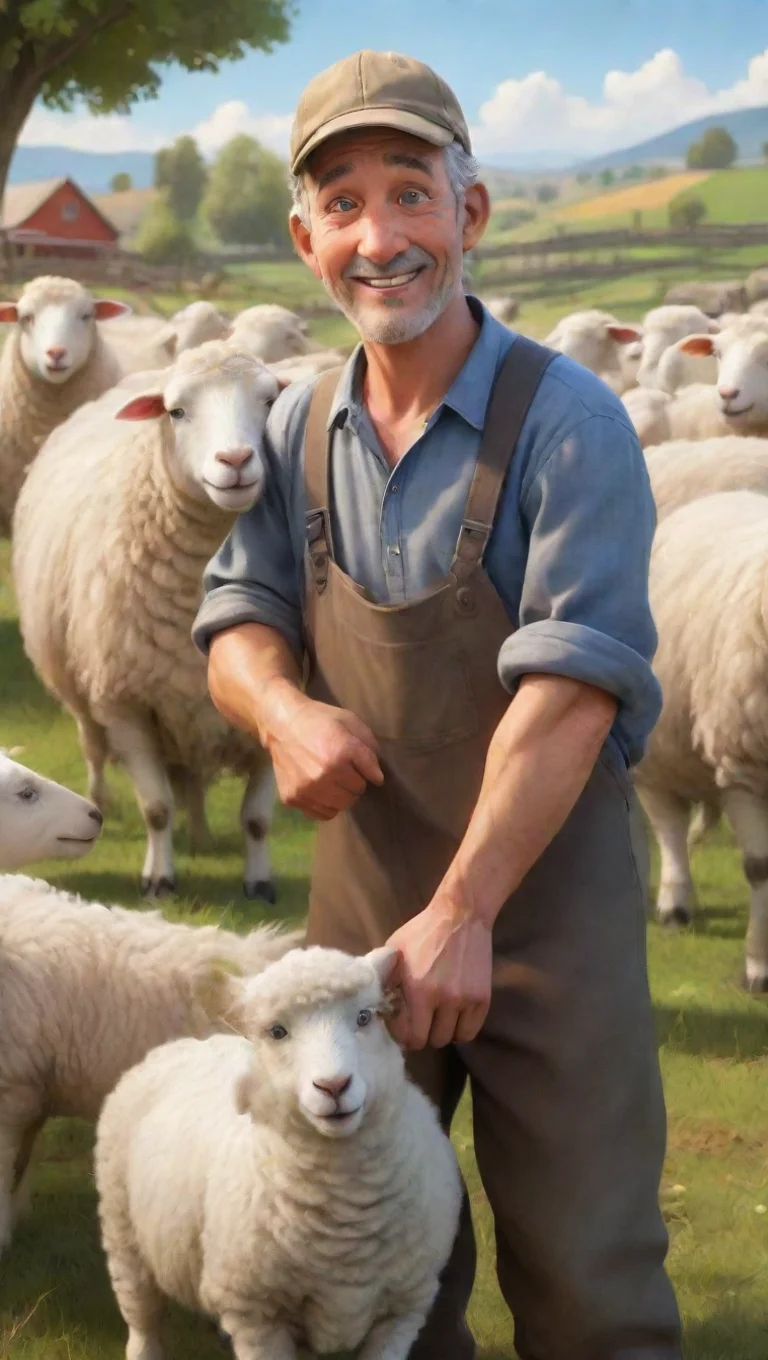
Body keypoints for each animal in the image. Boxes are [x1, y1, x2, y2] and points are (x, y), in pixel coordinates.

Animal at [12, 340, 282, 901]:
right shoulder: (125, 705)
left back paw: (201, 835)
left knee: (192, 778)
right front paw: (159, 879)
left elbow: (257, 819)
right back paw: (103, 801)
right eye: (176, 412)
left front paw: (259, 881)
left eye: (270, 401)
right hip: (86, 695)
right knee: (95, 751)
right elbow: (157, 808)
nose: (236, 461)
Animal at [95, 944, 462, 1360]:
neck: (344, 1223)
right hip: (123, 1233)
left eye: (364, 1017)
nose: (334, 1086)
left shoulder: (403, 1311)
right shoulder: (257, 1317)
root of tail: (190, 1041)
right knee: (143, 1321)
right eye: (277, 1032)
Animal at [635, 490, 768, 992]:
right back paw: (674, 905)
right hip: (659, 751)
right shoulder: (743, 767)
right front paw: (758, 967)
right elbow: (760, 868)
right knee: (668, 825)